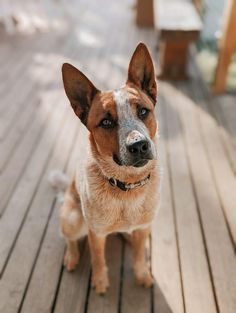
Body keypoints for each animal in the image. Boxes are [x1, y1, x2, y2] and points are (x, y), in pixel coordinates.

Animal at [57, 42, 160, 294]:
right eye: (106, 122)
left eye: (143, 111)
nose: (139, 145)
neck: (129, 187)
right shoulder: (96, 232)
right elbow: (98, 258)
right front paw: (100, 280)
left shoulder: (145, 226)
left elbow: (139, 255)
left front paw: (142, 274)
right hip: (74, 219)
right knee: (69, 238)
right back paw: (72, 256)